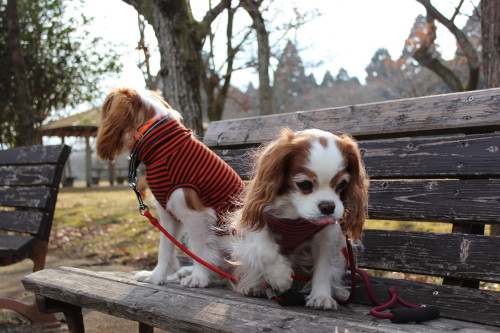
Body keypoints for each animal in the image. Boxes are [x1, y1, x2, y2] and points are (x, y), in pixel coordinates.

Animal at [96, 87, 244, 286]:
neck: (161, 148)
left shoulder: (195, 214)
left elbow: (200, 249)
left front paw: (199, 278)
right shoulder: (167, 215)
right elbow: (164, 249)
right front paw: (155, 276)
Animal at [230, 127, 368, 308]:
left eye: (342, 185)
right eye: (305, 184)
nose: (328, 207)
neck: (294, 213)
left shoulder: (326, 237)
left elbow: (324, 267)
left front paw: (321, 296)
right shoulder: (258, 219)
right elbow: (265, 250)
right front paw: (280, 277)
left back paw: (339, 292)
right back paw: (254, 285)